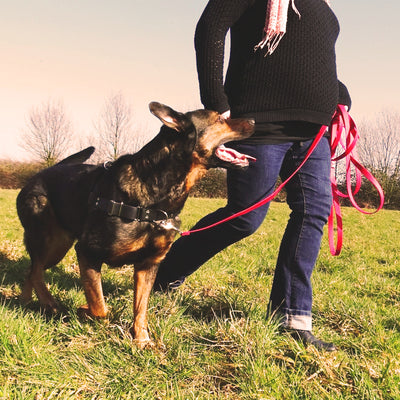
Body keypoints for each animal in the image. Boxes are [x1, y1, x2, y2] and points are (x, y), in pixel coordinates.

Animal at [17, 102, 255, 346]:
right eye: (220, 119)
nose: (254, 121)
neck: (156, 197)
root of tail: (40, 173)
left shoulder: (148, 264)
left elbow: (141, 307)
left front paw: (141, 340)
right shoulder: (87, 252)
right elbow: (100, 306)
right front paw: (85, 311)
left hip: (58, 248)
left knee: (31, 270)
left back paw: (26, 302)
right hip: (50, 242)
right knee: (36, 271)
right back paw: (49, 302)